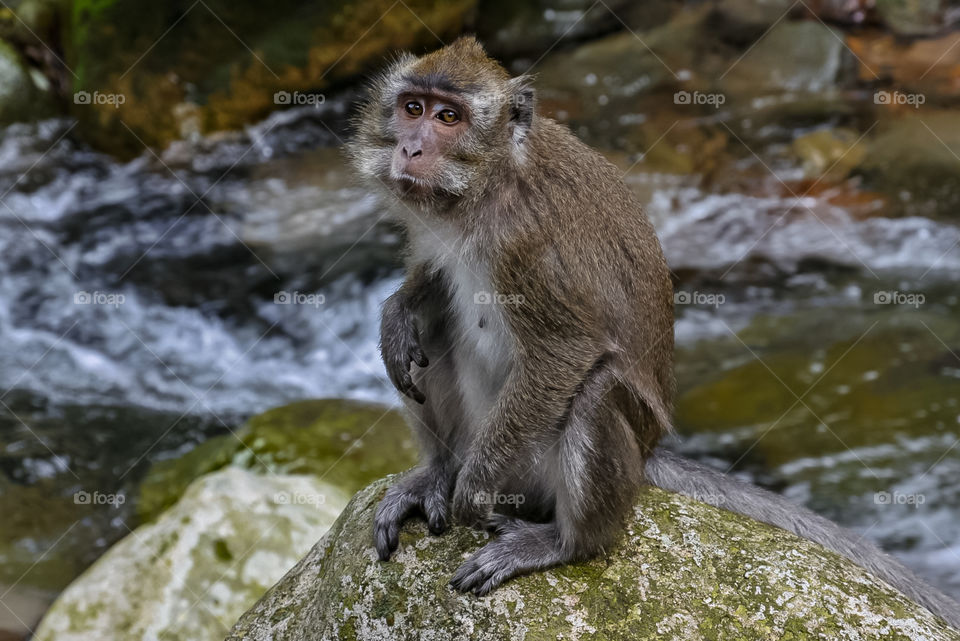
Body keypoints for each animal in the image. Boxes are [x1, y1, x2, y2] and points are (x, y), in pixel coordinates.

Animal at [347, 37, 960, 628]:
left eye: (448, 117)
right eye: (412, 108)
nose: (411, 149)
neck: (482, 191)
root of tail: (646, 456)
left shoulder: (528, 245)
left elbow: (565, 350)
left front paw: (473, 491)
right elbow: (430, 284)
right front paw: (396, 314)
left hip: (539, 470)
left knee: (596, 393)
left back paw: (564, 541)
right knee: (434, 334)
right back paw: (438, 471)